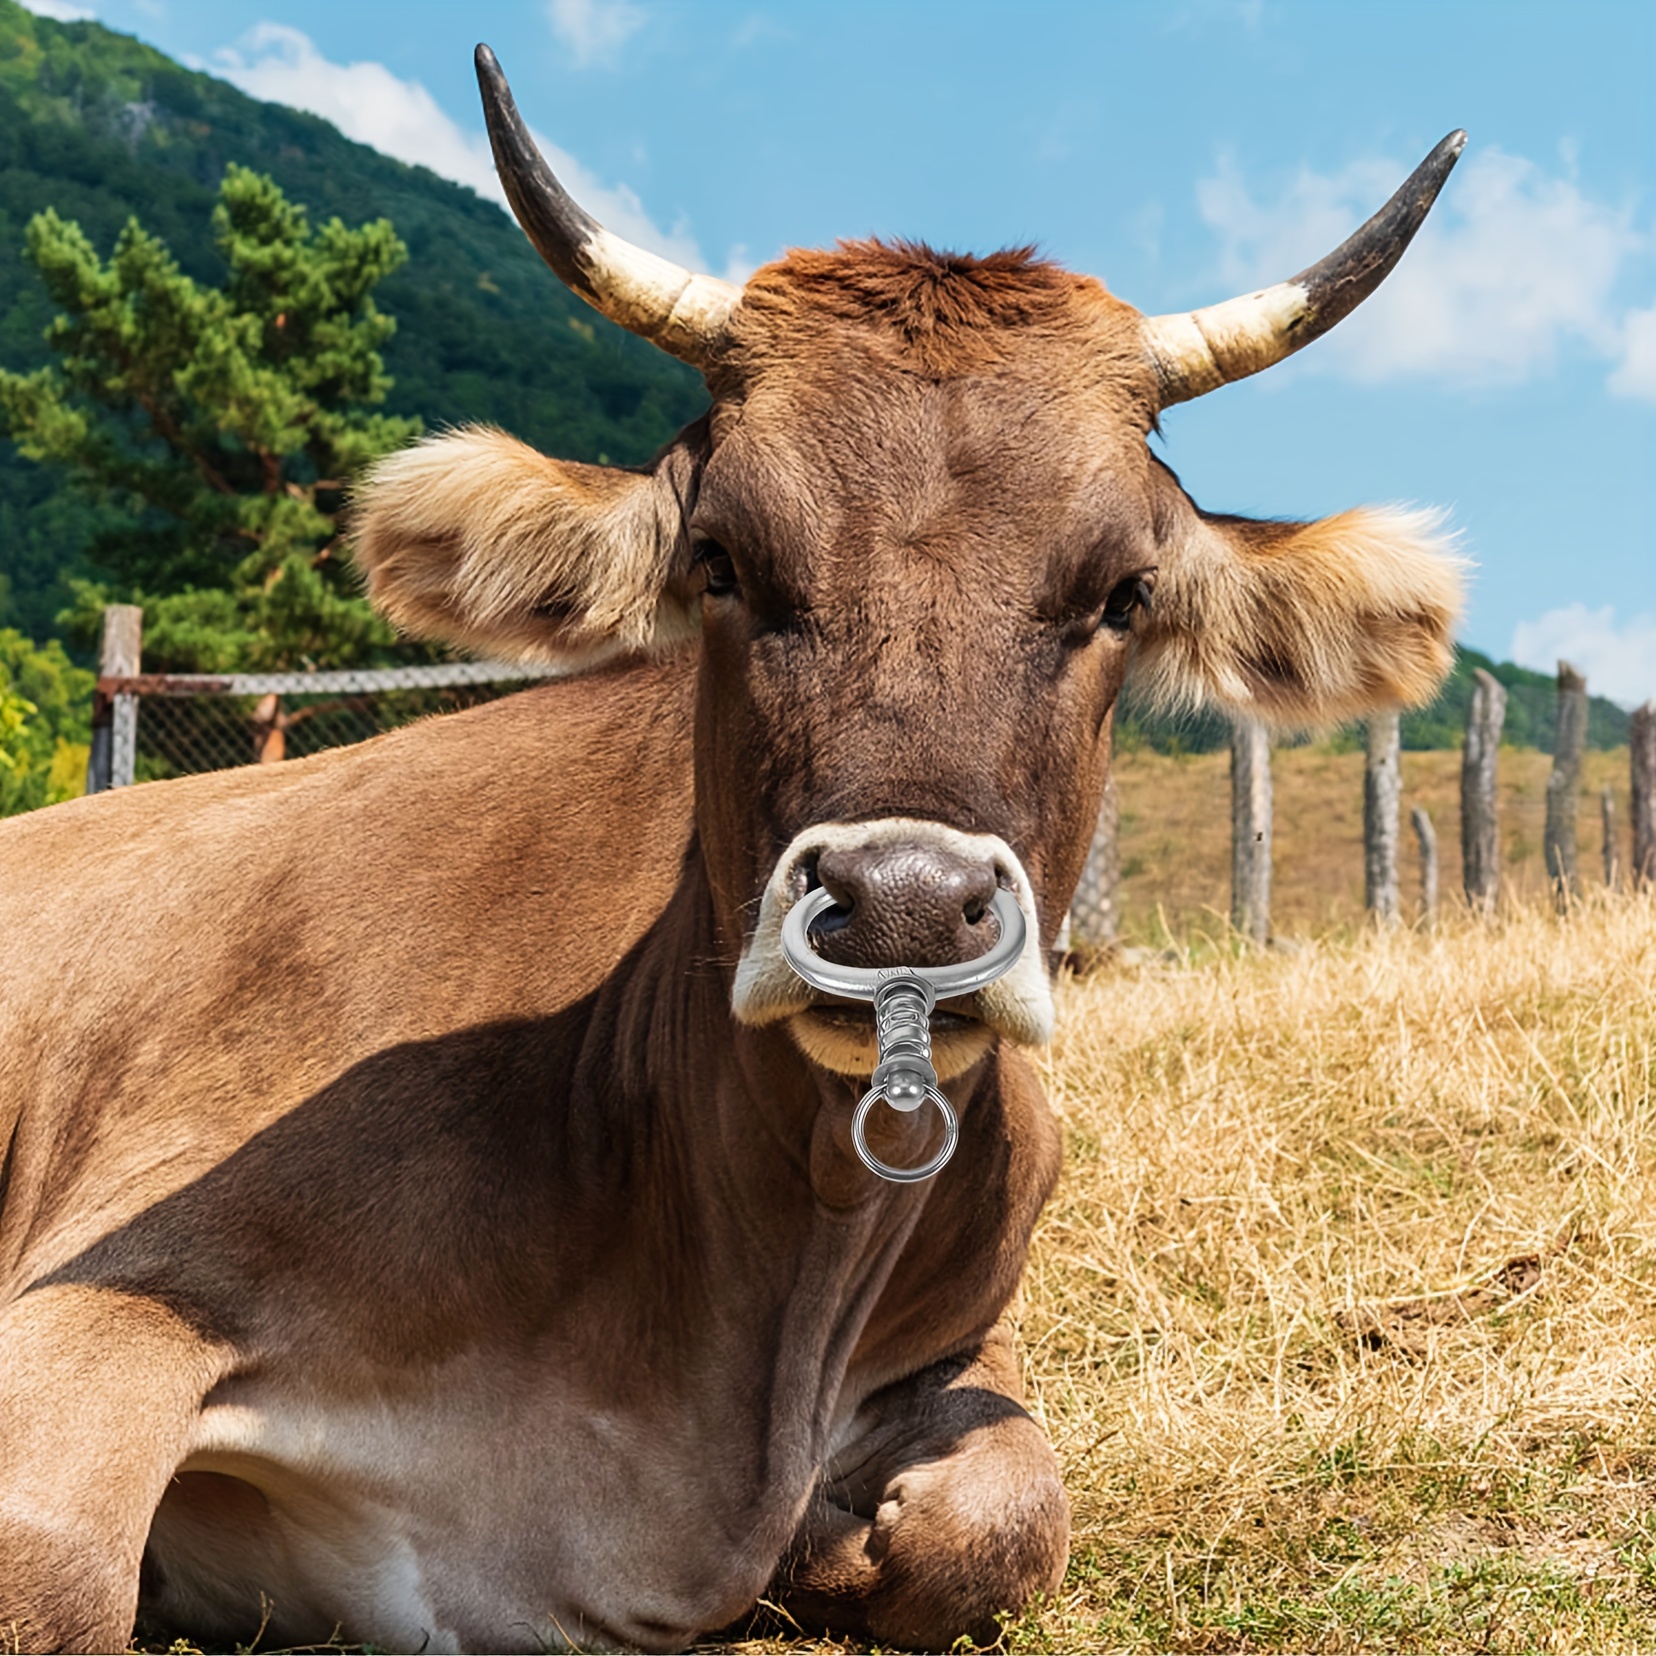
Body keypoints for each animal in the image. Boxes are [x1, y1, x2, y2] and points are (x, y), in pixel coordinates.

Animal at [0, 44, 1466, 1655]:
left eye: (1123, 594)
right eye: (721, 562)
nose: (903, 908)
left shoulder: (968, 1340)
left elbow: (1003, 1520)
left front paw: (834, 1541)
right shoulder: (119, 1287)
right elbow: (51, 1572)